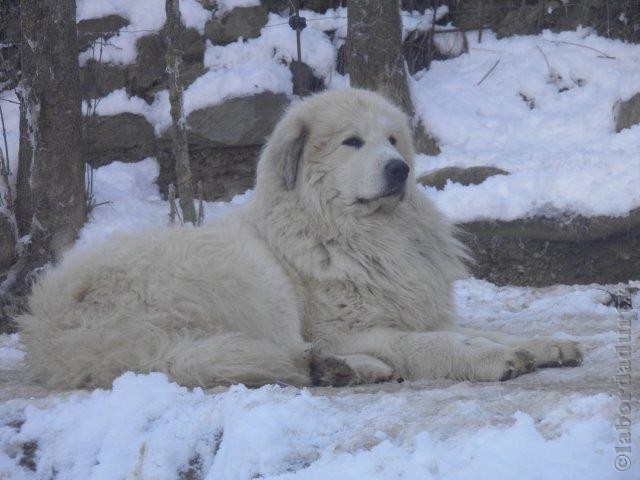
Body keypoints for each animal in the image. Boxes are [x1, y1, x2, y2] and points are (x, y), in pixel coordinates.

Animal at [18, 89, 580, 390]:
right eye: (353, 142)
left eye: (393, 140)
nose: (399, 169)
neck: (358, 232)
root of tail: (45, 331)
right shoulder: (348, 329)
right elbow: (433, 342)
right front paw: (491, 358)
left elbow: (483, 330)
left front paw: (545, 344)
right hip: (222, 286)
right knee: (263, 355)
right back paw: (339, 367)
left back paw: (340, 371)